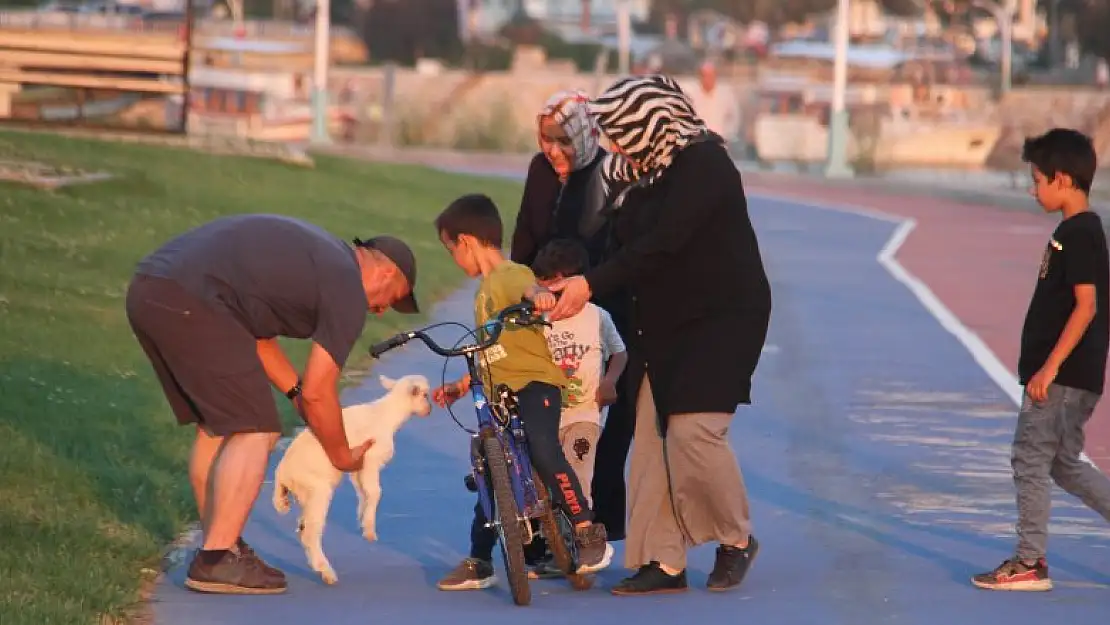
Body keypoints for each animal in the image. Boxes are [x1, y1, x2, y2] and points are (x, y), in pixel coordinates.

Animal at [273, 375, 432, 586]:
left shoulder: (357, 466)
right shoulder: (370, 458)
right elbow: (376, 492)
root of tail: (282, 473)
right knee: (310, 533)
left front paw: (362, 517)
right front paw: (370, 529)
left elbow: (364, 492)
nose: (429, 409)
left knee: (302, 527)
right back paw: (326, 572)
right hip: (318, 489)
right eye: (425, 395)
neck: (387, 415)